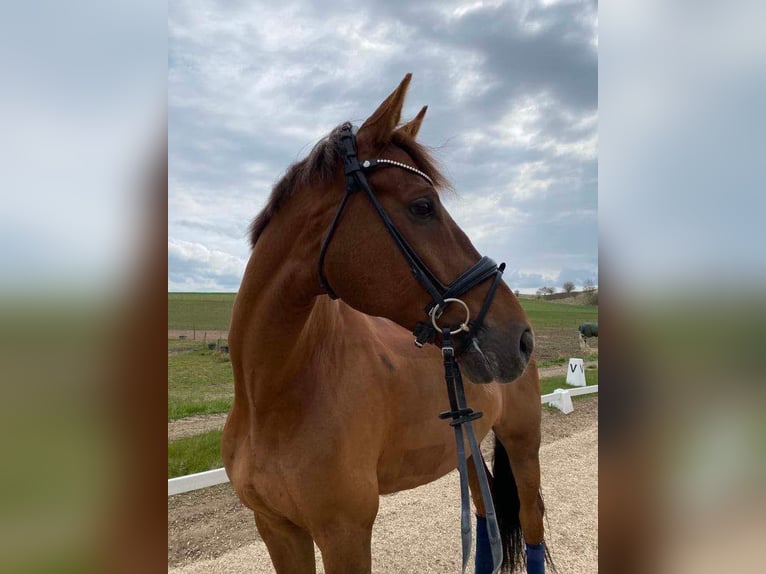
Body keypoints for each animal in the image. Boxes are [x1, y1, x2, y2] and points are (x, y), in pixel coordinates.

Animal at [222, 74, 552, 572]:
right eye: (422, 206)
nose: (521, 338)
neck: (272, 397)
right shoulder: (277, 530)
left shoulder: (345, 534)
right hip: (469, 449)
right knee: (483, 517)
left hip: (523, 442)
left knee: (530, 524)